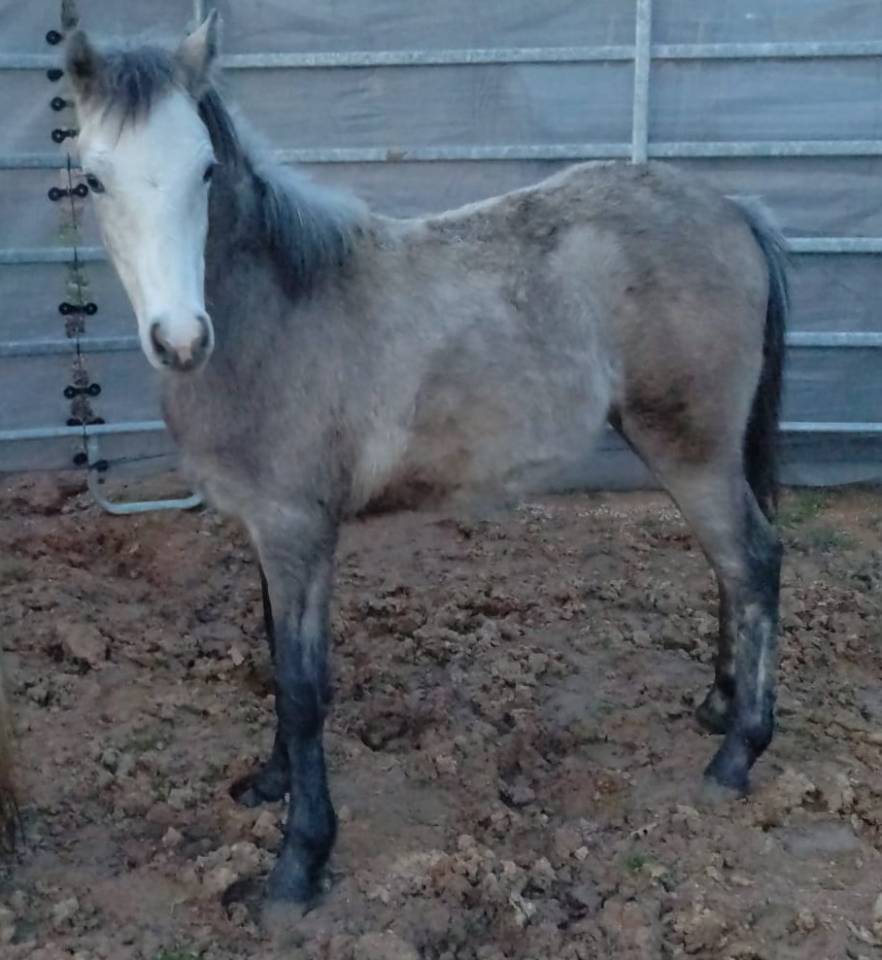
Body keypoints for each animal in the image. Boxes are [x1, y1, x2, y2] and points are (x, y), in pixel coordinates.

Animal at [53, 1, 788, 905]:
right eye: (94, 179)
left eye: (204, 170)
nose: (181, 340)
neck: (274, 314)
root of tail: (734, 209)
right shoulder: (267, 533)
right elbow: (274, 658)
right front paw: (270, 786)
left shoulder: (299, 532)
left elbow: (303, 687)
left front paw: (296, 866)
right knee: (729, 570)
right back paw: (717, 707)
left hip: (691, 449)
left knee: (753, 562)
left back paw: (736, 753)